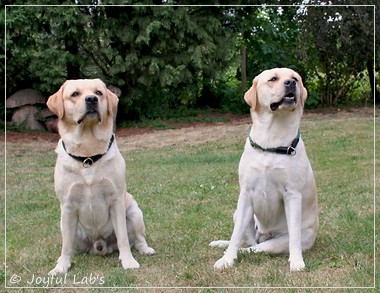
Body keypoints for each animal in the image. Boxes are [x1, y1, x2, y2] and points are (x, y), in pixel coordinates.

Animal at [47, 78, 154, 274]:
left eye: (98, 92)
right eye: (75, 94)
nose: (91, 99)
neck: (88, 156)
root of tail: (100, 244)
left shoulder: (116, 200)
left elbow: (123, 237)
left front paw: (128, 261)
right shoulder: (67, 206)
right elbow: (66, 245)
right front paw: (61, 266)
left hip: (134, 212)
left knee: (138, 239)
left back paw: (145, 249)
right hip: (66, 224)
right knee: (70, 243)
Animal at [211, 67, 318, 270]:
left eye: (295, 78)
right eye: (273, 79)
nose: (291, 83)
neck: (272, 139)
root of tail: (265, 235)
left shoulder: (292, 194)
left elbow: (294, 236)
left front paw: (297, 261)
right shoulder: (246, 194)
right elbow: (235, 235)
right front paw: (227, 259)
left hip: (279, 241)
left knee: (256, 248)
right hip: (239, 215)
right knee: (246, 242)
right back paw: (222, 245)